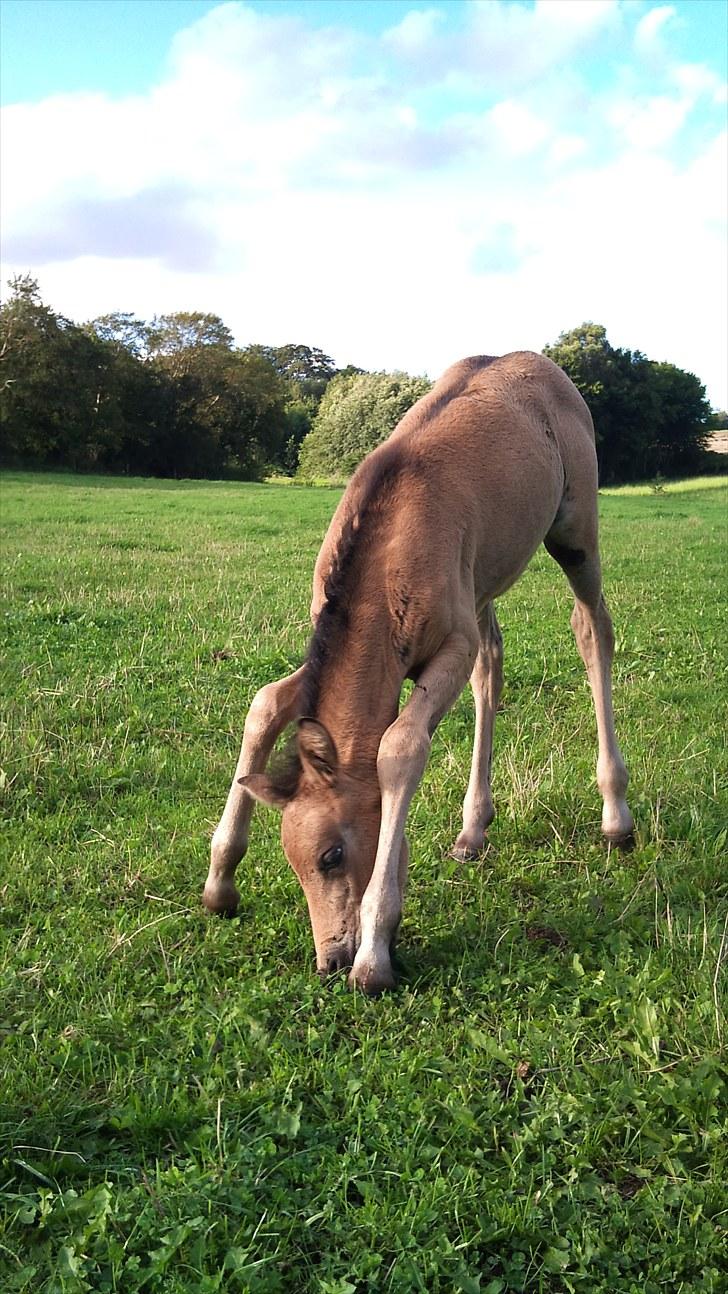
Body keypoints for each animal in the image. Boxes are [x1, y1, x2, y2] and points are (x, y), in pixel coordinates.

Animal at [201, 351, 636, 988]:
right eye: (293, 862)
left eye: (332, 855)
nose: (330, 959)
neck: (388, 549)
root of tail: (541, 364)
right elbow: (266, 704)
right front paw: (219, 884)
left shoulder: (450, 645)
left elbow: (399, 746)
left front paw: (374, 952)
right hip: (484, 580)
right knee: (492, 663)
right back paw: (473, 830)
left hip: (576, 535)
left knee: (592, 630)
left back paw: (616, 817)